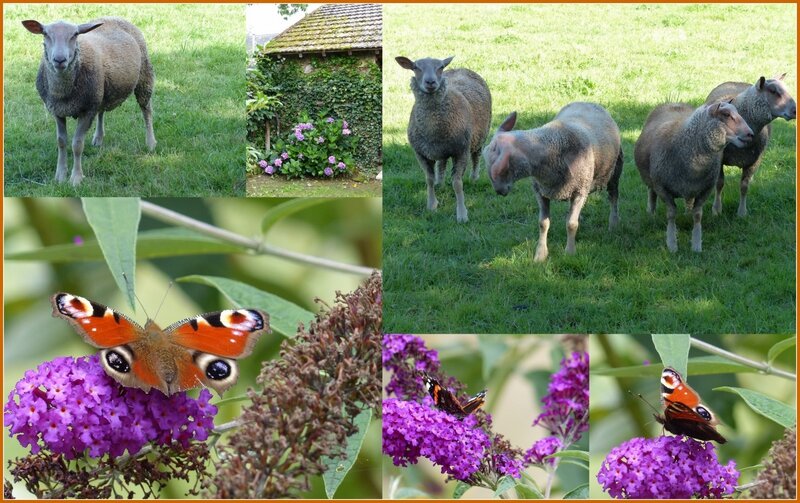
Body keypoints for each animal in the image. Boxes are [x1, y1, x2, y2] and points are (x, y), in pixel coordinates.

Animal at [21, 17, 156, 188]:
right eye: (45, 34)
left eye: (75, 35)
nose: (59, 60)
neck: (63, 92)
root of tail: (115, 17)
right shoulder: (58, 111)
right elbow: (61, 142)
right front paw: (60, 176)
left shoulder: (86, 112)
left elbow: (77, 145)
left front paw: (76, 178)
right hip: (101, 91)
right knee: (102, 111)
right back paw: (98, 138)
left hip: (144, 76)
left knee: (146, 110)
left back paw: (151, 142)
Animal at [396, 55, 490, 222]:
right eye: (416, 67)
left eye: (440, 67)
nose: (430, 82)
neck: (432, 129)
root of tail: (461, 68)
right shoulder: (421, 153)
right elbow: (429, 179)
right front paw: (431, 205)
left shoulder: (461, 151)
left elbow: (457, 183)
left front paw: (462, 214)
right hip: (442, 149)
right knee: (442, 163)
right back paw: (440, 183)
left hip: (479, 136)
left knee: (476, 157)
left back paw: (474, 177)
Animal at [482, 101, 624, 262]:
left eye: (502, 168)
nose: (499, 191)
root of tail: (587, 102)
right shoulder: (541, 191)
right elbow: (543, 224)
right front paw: (540, 254)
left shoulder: (580, 190)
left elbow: (571, 224)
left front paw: (570, 252)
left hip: (614, 170)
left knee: (613, 197)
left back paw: (613, 223)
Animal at [636, 102, 752, 254]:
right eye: (726, 114)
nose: (751, 134)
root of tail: (673, 102)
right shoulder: (662, 188)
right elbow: (671, 214)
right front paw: (672, 244)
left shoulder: (705, 189)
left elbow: (697, 215)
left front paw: (696, 244)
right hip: (652, 179)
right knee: (651, 192)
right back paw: (651, 213)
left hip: (690, 187)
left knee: (688, 200)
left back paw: (686, 212)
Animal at [708, 75, 792, 217]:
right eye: (773, 91)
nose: (795, 110)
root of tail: (736, 82)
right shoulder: (719, 159)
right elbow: (719, 184)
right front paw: (716, 209)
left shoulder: (754, 161)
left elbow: (744, 186)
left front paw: (742, 212)